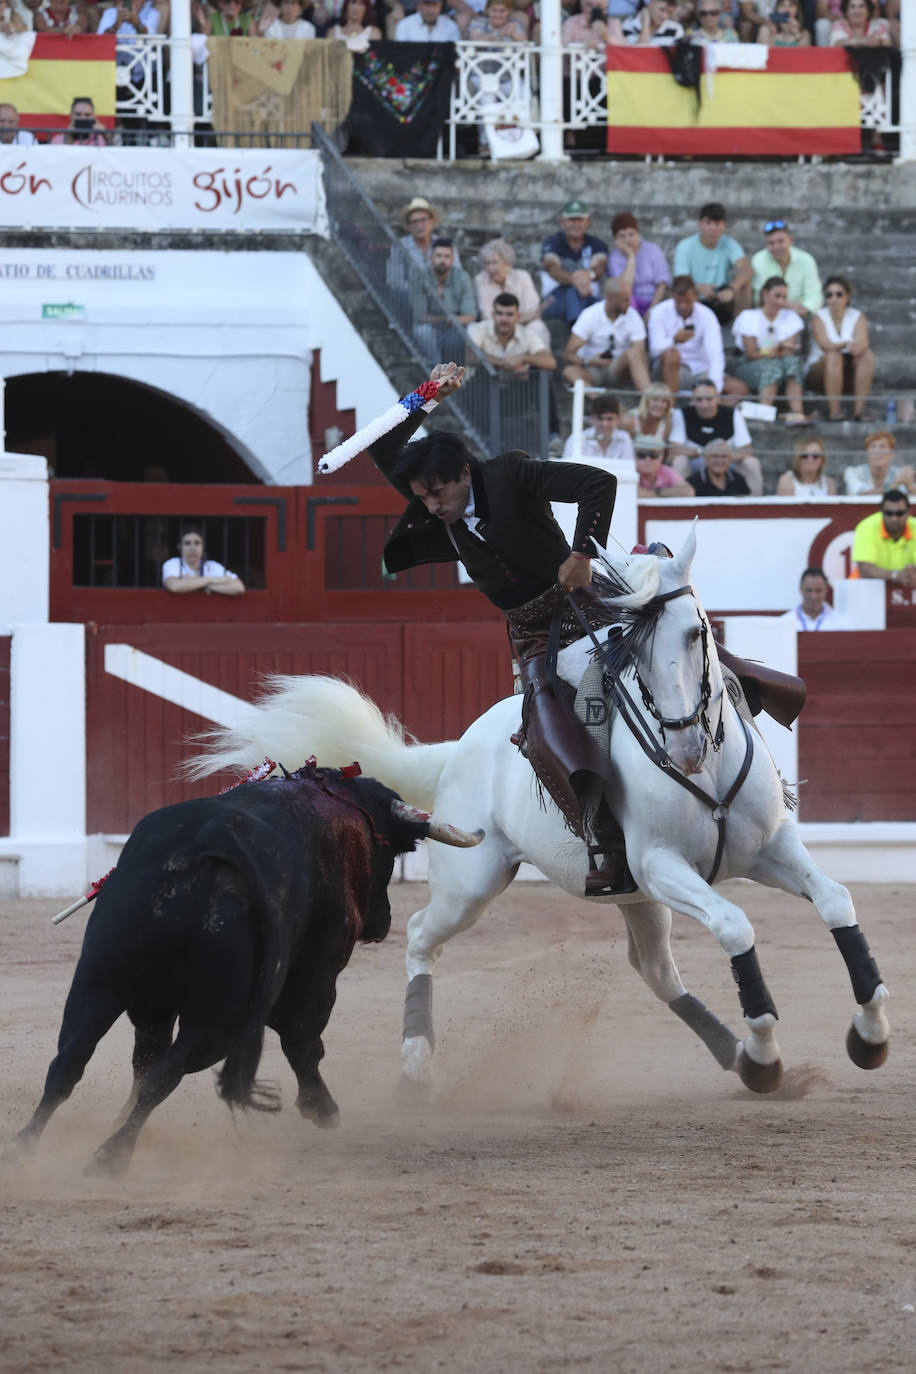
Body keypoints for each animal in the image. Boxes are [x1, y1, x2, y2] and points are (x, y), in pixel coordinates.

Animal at [7, 769, 480, 1176]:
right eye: (392, 852)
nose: (382, 920)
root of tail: (208, 845)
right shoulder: (319, 969)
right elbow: (302, 1039)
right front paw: (321, 1108)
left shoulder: (150, 1006)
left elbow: (140, 1060)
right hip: (218, 1017)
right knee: (167, 1072)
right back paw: (112, 1153)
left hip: (98, 981)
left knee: (71, 1063)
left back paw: (27, 1146)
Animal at [189, 522, 889, 1093]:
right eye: (629, 648)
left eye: (697, 634)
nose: (684, 748)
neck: (707, 776)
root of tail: (462, 746)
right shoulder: (663, 864)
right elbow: (736, 926)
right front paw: (768, 1049)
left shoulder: (769, 847)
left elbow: (836, 901)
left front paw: (869, 1035)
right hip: (474, 883)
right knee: (419, 935)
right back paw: (416, 1064)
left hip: (633, 895)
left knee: (655, 971)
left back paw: (736, 1058)